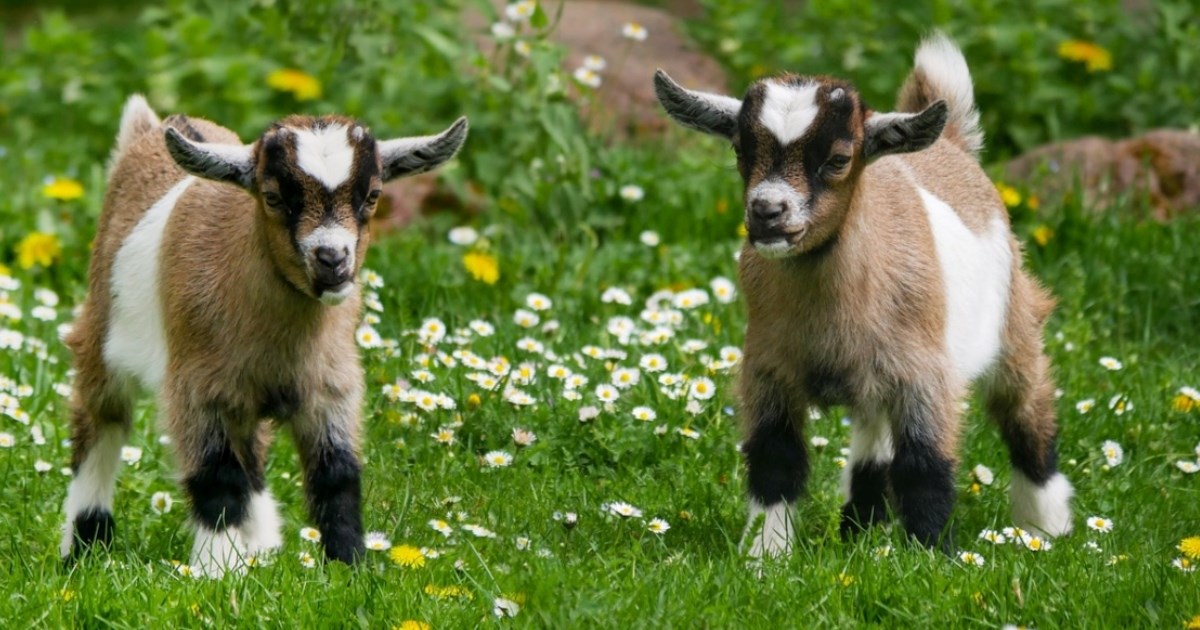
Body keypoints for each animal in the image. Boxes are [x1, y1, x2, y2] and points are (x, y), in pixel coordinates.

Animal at [59, 94, 468, 573]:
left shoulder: (331, 386)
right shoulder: (198, 389)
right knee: (100, 423)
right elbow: (216, 477)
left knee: (251, 454)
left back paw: (262, 548)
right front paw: (215, 570)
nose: (332, 260)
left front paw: (348, 565)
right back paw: (83, 547)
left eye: (373, 196)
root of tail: (150, 129)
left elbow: (338, 474)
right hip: (101, 338)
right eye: (272, 197)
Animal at [662, 34, 1075, 554]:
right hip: (875, 380)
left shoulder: (925, 375)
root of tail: (952, 146)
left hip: (1013, 321)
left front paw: (932, 556)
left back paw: (1045, 529)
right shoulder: (768, 368)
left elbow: (925, 467)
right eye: (740, 150)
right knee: (873, 444)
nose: (767, 212)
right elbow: (775, 459)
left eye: (839, 159)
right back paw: (860, 531)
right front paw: (765, 555)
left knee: (1026, 413)